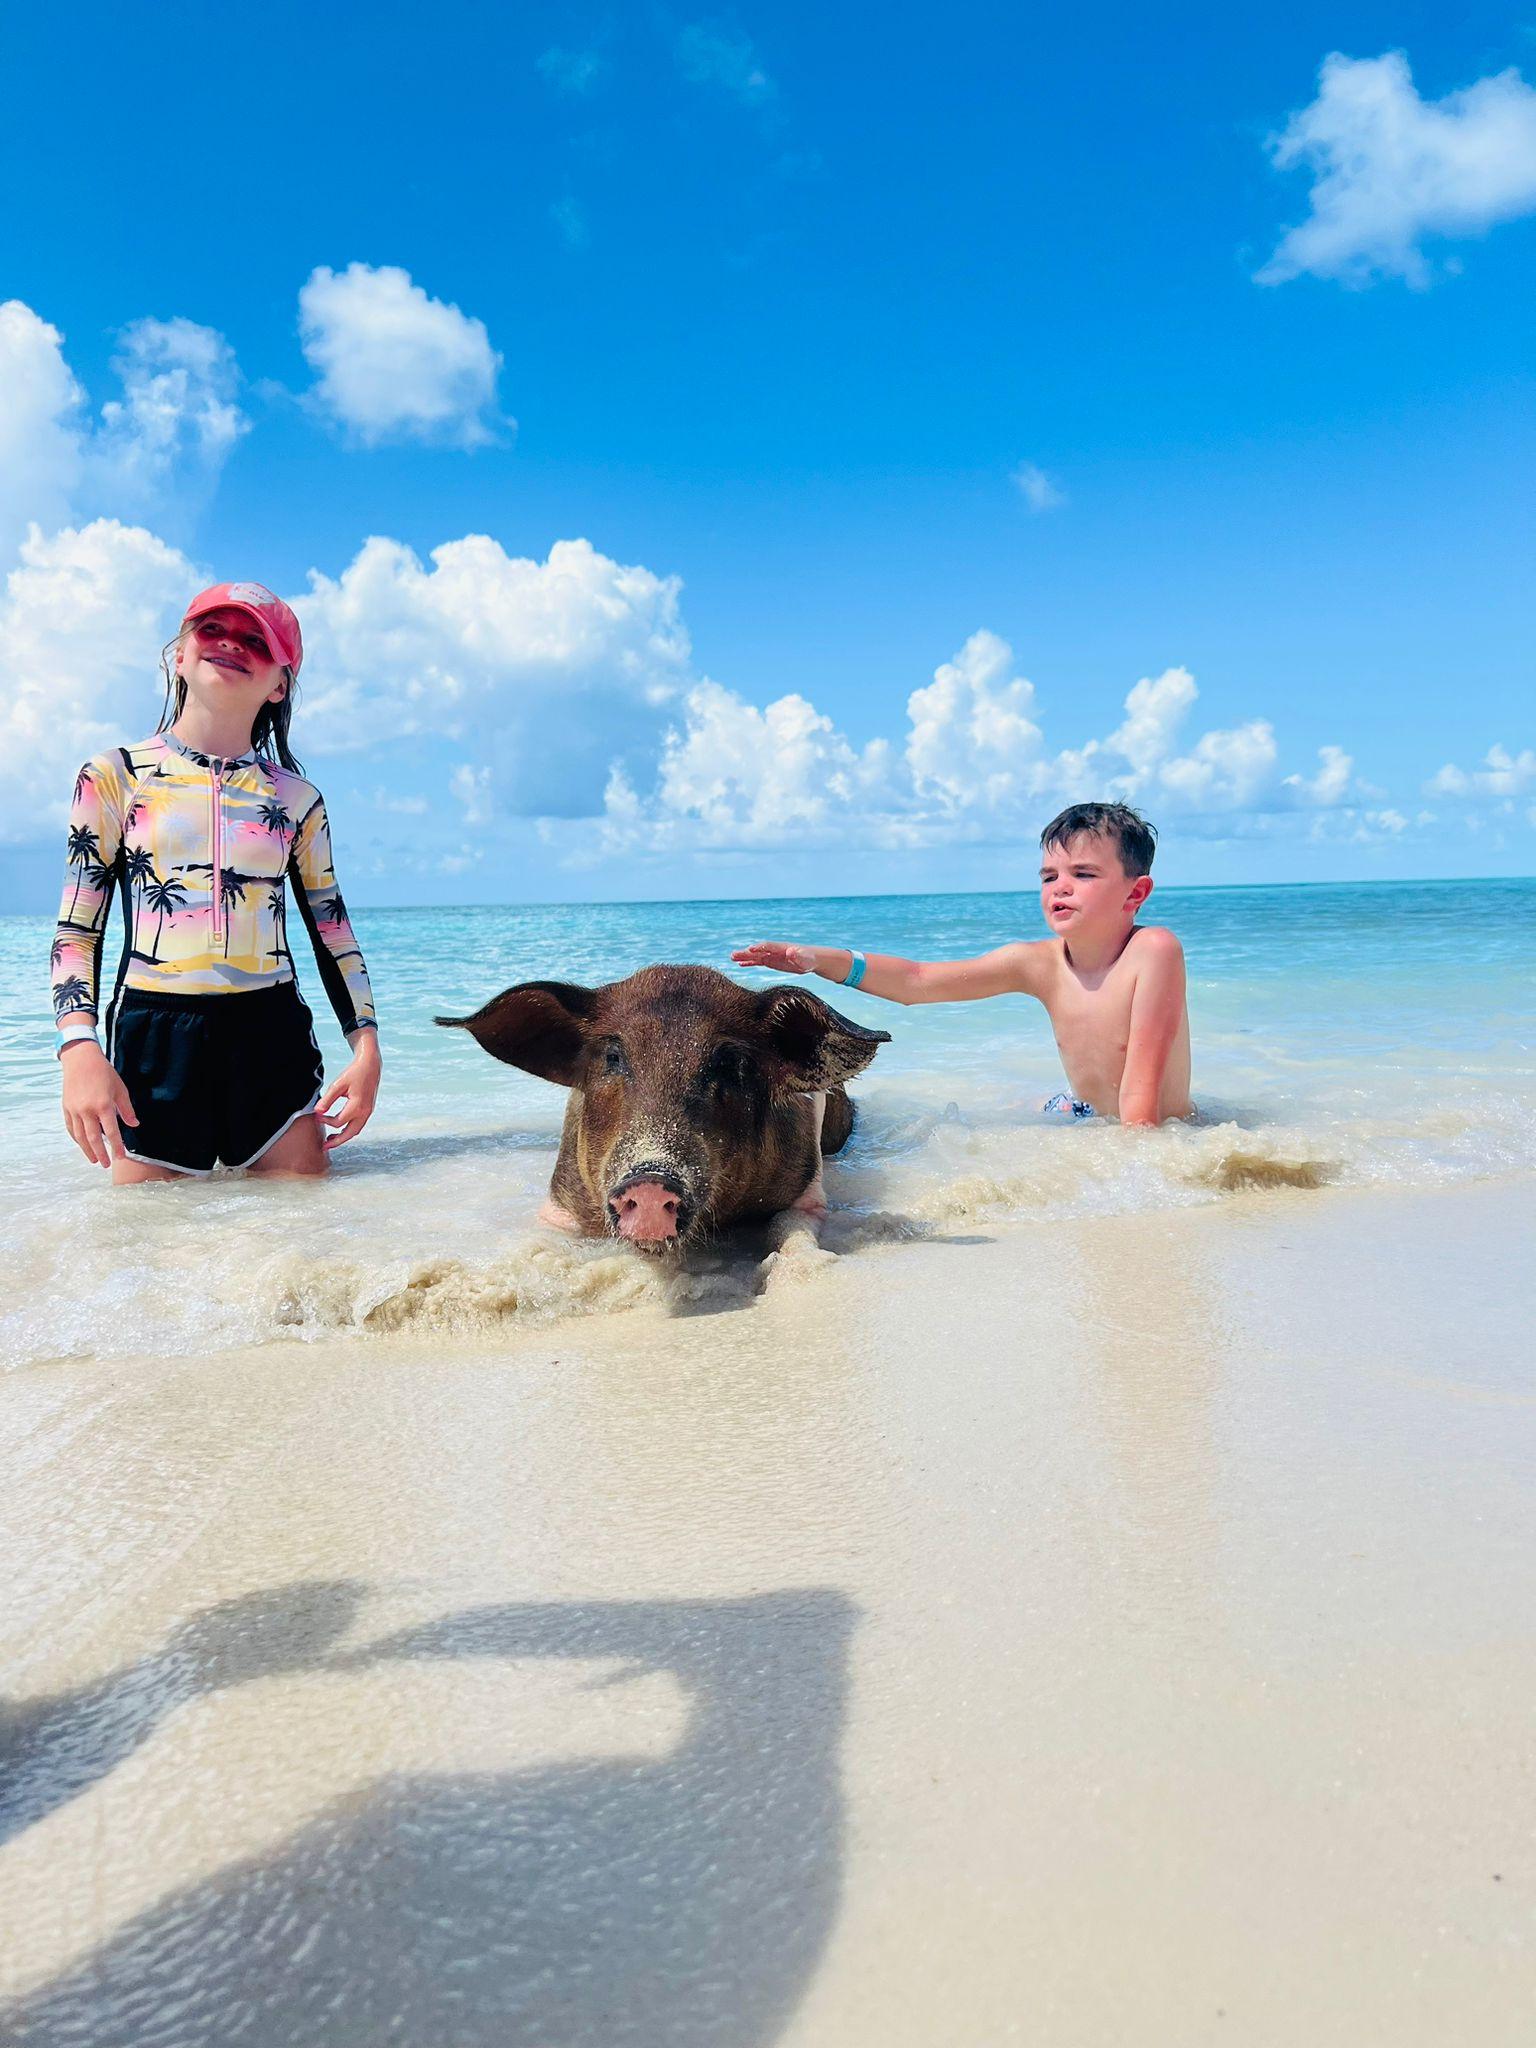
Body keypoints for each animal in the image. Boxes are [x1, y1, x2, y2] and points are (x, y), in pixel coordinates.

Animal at [436, 965, 889, 1253]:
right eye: (614, 1057)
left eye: (728, 1063)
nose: (650, 1178)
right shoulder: (559, 1202)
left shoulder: (807, 1188)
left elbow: (796, 1230)